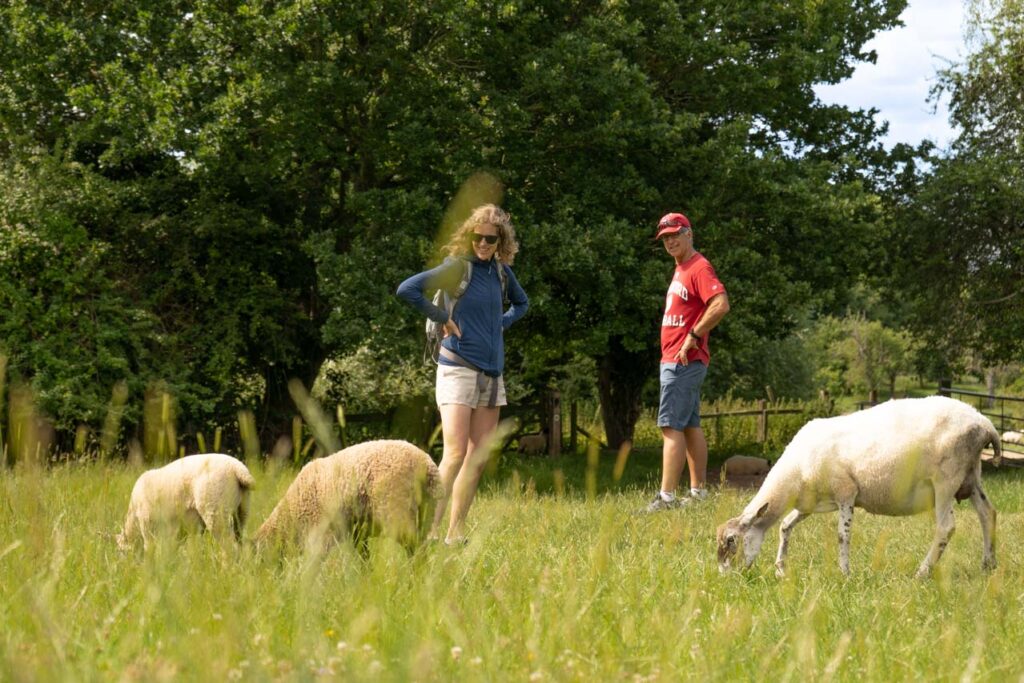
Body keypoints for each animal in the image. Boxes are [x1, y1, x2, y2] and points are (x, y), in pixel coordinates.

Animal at [117, 453, 255, 550]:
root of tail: (238, 468)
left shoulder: (147, 522)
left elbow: (150, 546)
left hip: (214, 503)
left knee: (228, 544)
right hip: (243, 506)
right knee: (239, 537)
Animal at [254, 439, 442, 554]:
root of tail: (426, 464)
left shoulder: (322, 535)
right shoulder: (357, 534)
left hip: (396, 511)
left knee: (416, 549)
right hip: (425, 512)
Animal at [716, 396, 1000, 579]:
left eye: (731, 540)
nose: (723, 578)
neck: (792, 479)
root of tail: (986, 424)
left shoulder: (846, 493)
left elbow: (842, 536)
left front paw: (845, 574)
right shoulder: (811, 504)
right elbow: (785, 526)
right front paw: (780, 569)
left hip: (946, 480)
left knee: (946, 527)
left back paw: (922, 573)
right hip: (971, 476)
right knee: (988, 514)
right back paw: (988, 565)